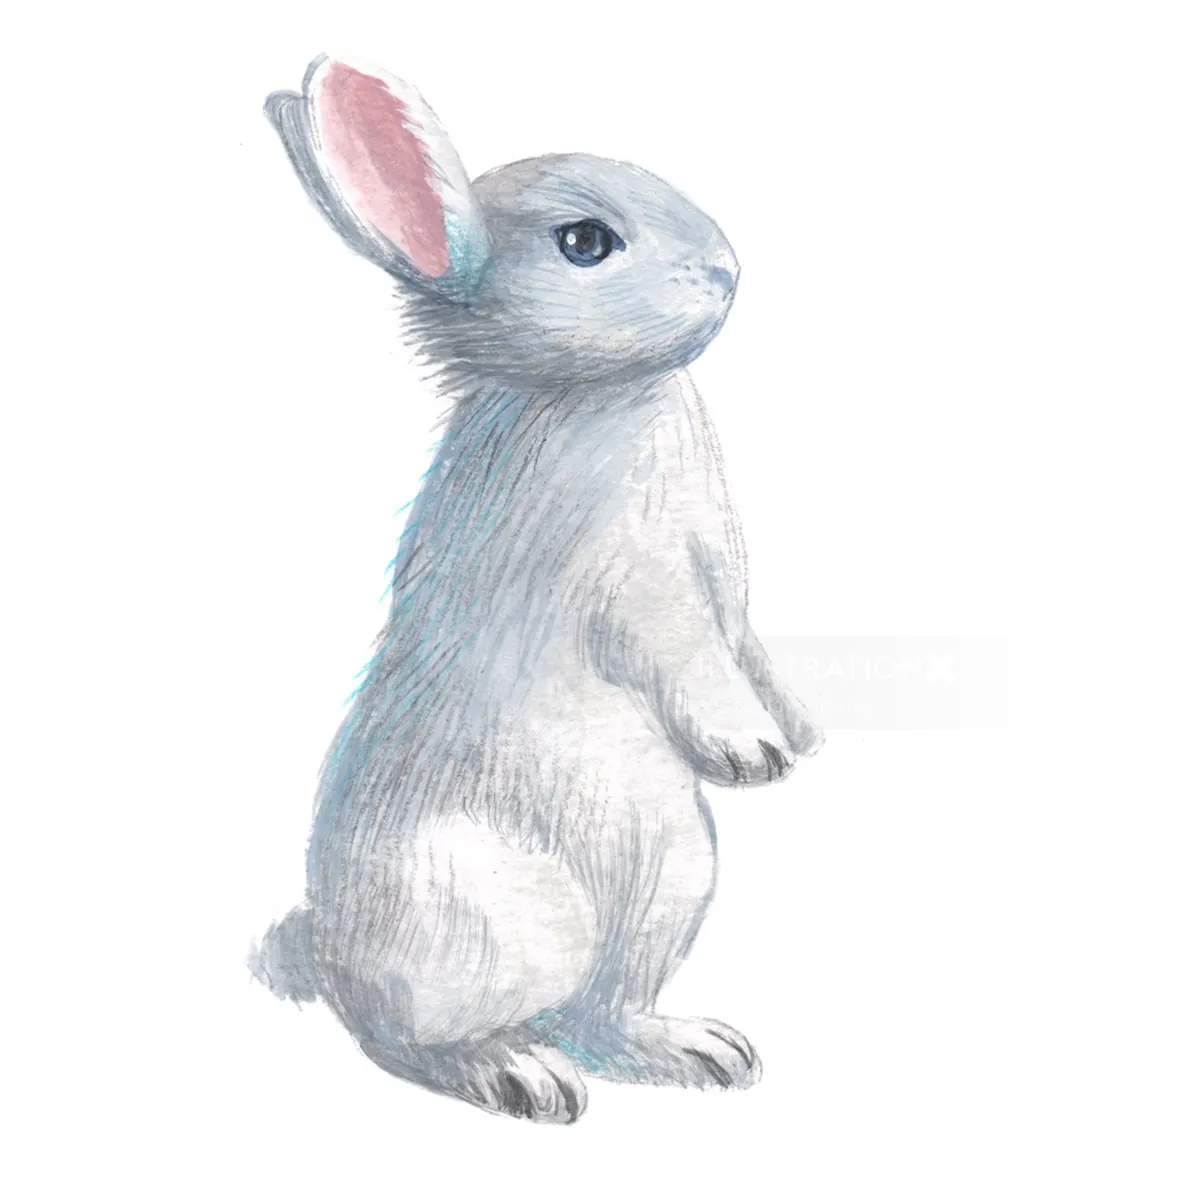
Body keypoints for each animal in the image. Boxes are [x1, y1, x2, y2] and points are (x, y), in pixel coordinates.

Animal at [250, 54, 823, 1124]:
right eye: (585, 243)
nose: (727, 268)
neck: (590, 394)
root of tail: (332, 945)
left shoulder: (724, 584)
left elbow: (747, 644)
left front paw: (800, 733)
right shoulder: (639, 589)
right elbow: (688, 655)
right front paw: (752, 751)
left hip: (668, 884)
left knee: (605, 1013)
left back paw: (700, 1051)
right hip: (494, 919)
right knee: (405, 1038)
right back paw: (518, 1074)